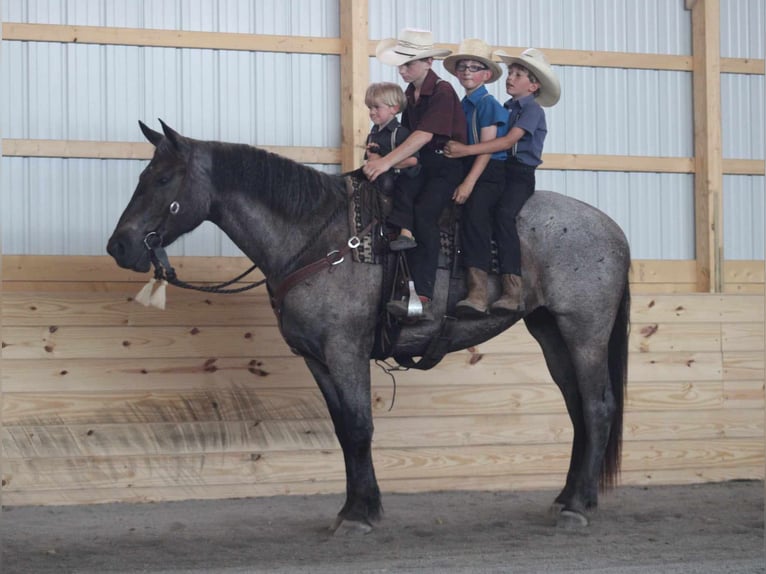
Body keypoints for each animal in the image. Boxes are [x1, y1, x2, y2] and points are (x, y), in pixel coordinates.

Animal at [109, 120, 636, 536]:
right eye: (140, 176)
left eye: (161, 178)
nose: (120, 246)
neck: (318, 239)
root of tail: (611, 229)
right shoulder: (318, 359)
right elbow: (345, 429)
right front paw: (354, 506)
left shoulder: (345, 351)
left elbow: (361, 425)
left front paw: (362, 516)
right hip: (550, 332)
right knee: (577, 408)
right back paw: (567, 497)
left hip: (585, 332)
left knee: (597, 406)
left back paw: (577, 507)